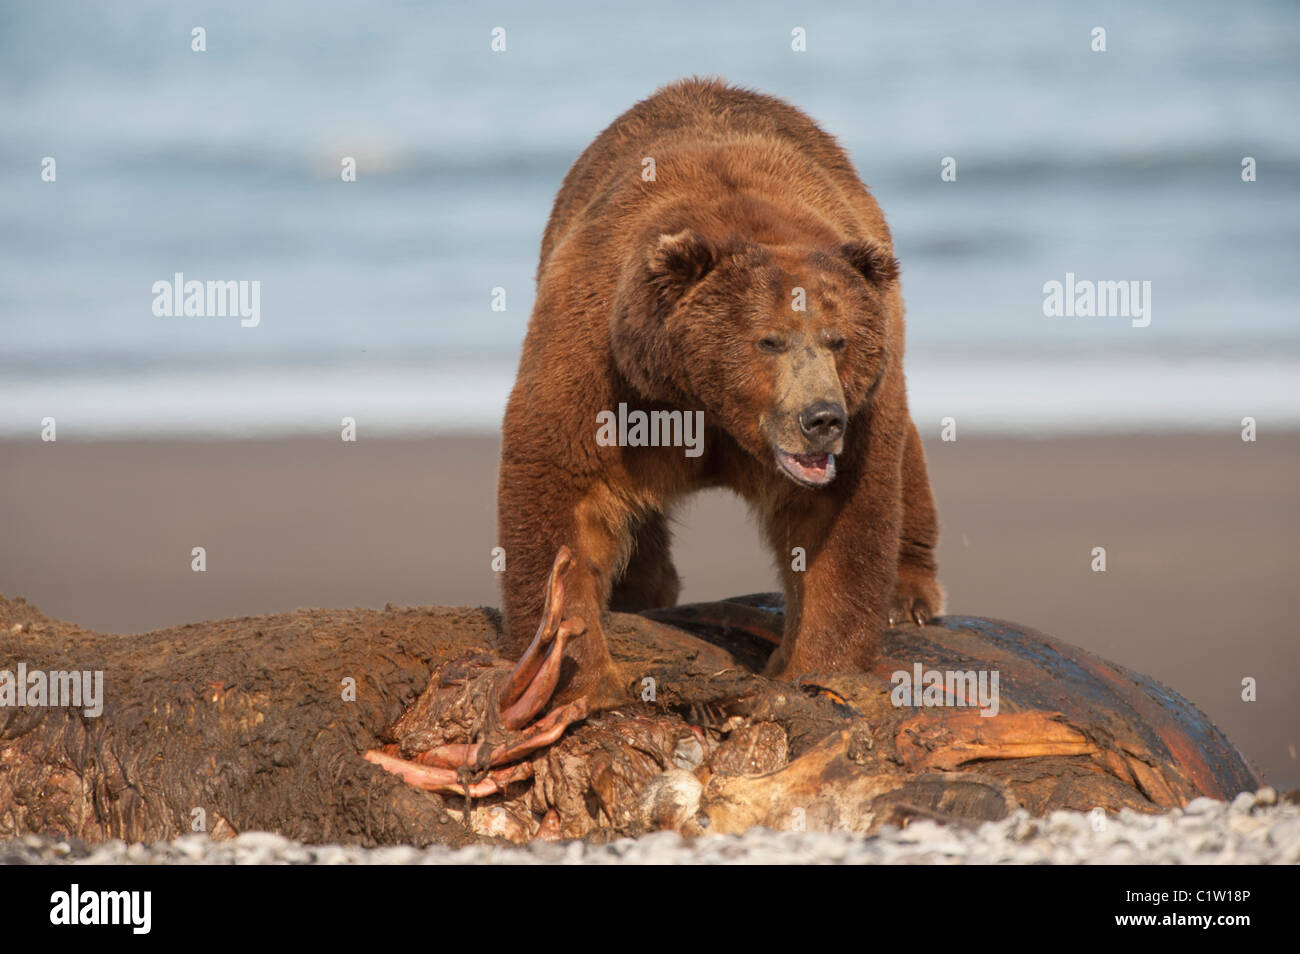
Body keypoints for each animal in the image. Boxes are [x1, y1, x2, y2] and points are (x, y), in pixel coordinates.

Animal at [499, 78, 946, 707]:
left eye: (838, 340)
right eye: (770, 340)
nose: (821, 418)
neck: (707, 404)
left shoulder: (859, 411)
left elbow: (839, 522)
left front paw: (816, 667)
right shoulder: (604, 364)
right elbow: (565, 492)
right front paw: (574, 671)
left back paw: (911, 595)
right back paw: (644, 589)